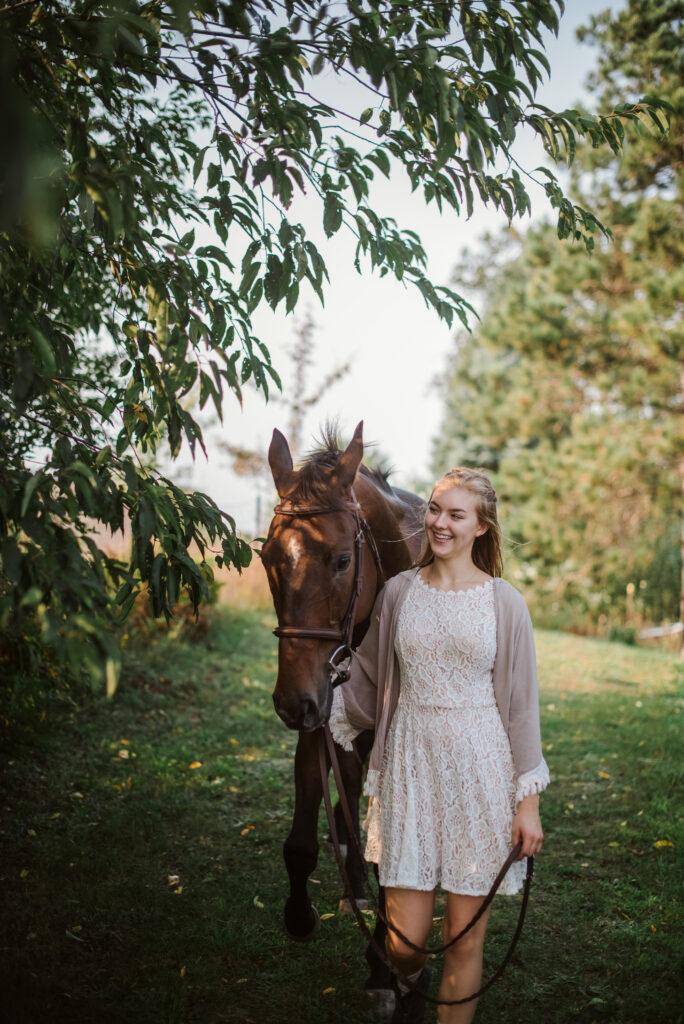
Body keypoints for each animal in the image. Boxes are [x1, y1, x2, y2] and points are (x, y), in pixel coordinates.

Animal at [261, 421, 424, 1012]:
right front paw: (300, 915)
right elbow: (301, 844)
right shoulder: (317, 721)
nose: (290, 701)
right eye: (267, 558)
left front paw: (383, 967)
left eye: (341, 561)